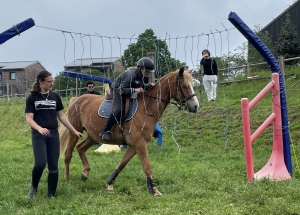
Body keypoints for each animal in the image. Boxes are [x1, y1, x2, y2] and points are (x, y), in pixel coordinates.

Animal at [58, 67, 199, 197]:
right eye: (185, 86)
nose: (196, 106)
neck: (147, 108)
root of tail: (76, 100)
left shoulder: (134, 146)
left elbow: (122, 164)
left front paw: (110, 184)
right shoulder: (140, 144)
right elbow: (147, 167)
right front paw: (154, 190)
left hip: (93, 136)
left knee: (80, 148)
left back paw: (85, 173)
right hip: (74, 132)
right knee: (68, 154)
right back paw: (67, 178)